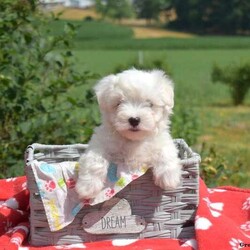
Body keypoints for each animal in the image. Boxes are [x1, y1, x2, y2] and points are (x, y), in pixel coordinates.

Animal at [75, 68, 181, 199]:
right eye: (119, 103)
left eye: (150, 104)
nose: (134, 119)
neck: (133, 140)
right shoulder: (99, 143)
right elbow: (94, 160)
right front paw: (87, 187)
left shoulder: (162, 141)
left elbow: (166, 152)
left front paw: (169, 177)